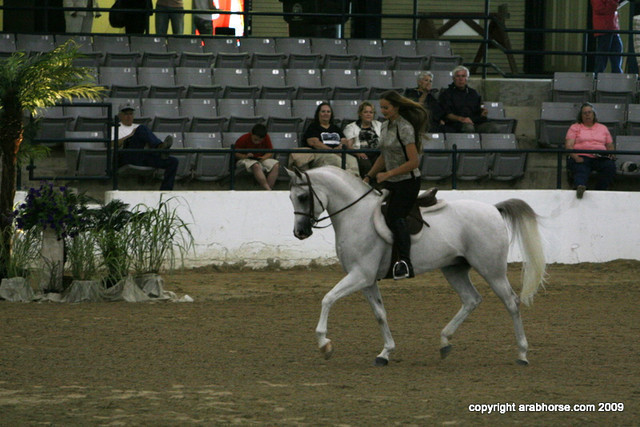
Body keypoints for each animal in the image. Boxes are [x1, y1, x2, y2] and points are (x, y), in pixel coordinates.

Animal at [287, 166, 546, 366]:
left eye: (303, 197)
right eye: (291, 198)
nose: (300, 232)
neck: (356, 216)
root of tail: (493, 209)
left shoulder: (360, 275)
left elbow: (328, 298)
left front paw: (324, 343)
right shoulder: (366, 280)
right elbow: (380, 314)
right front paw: (385, 353)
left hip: (492, 270)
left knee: (511, 302)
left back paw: (522, 354)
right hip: (454, 269)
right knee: (471, 299)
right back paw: (444, 342)